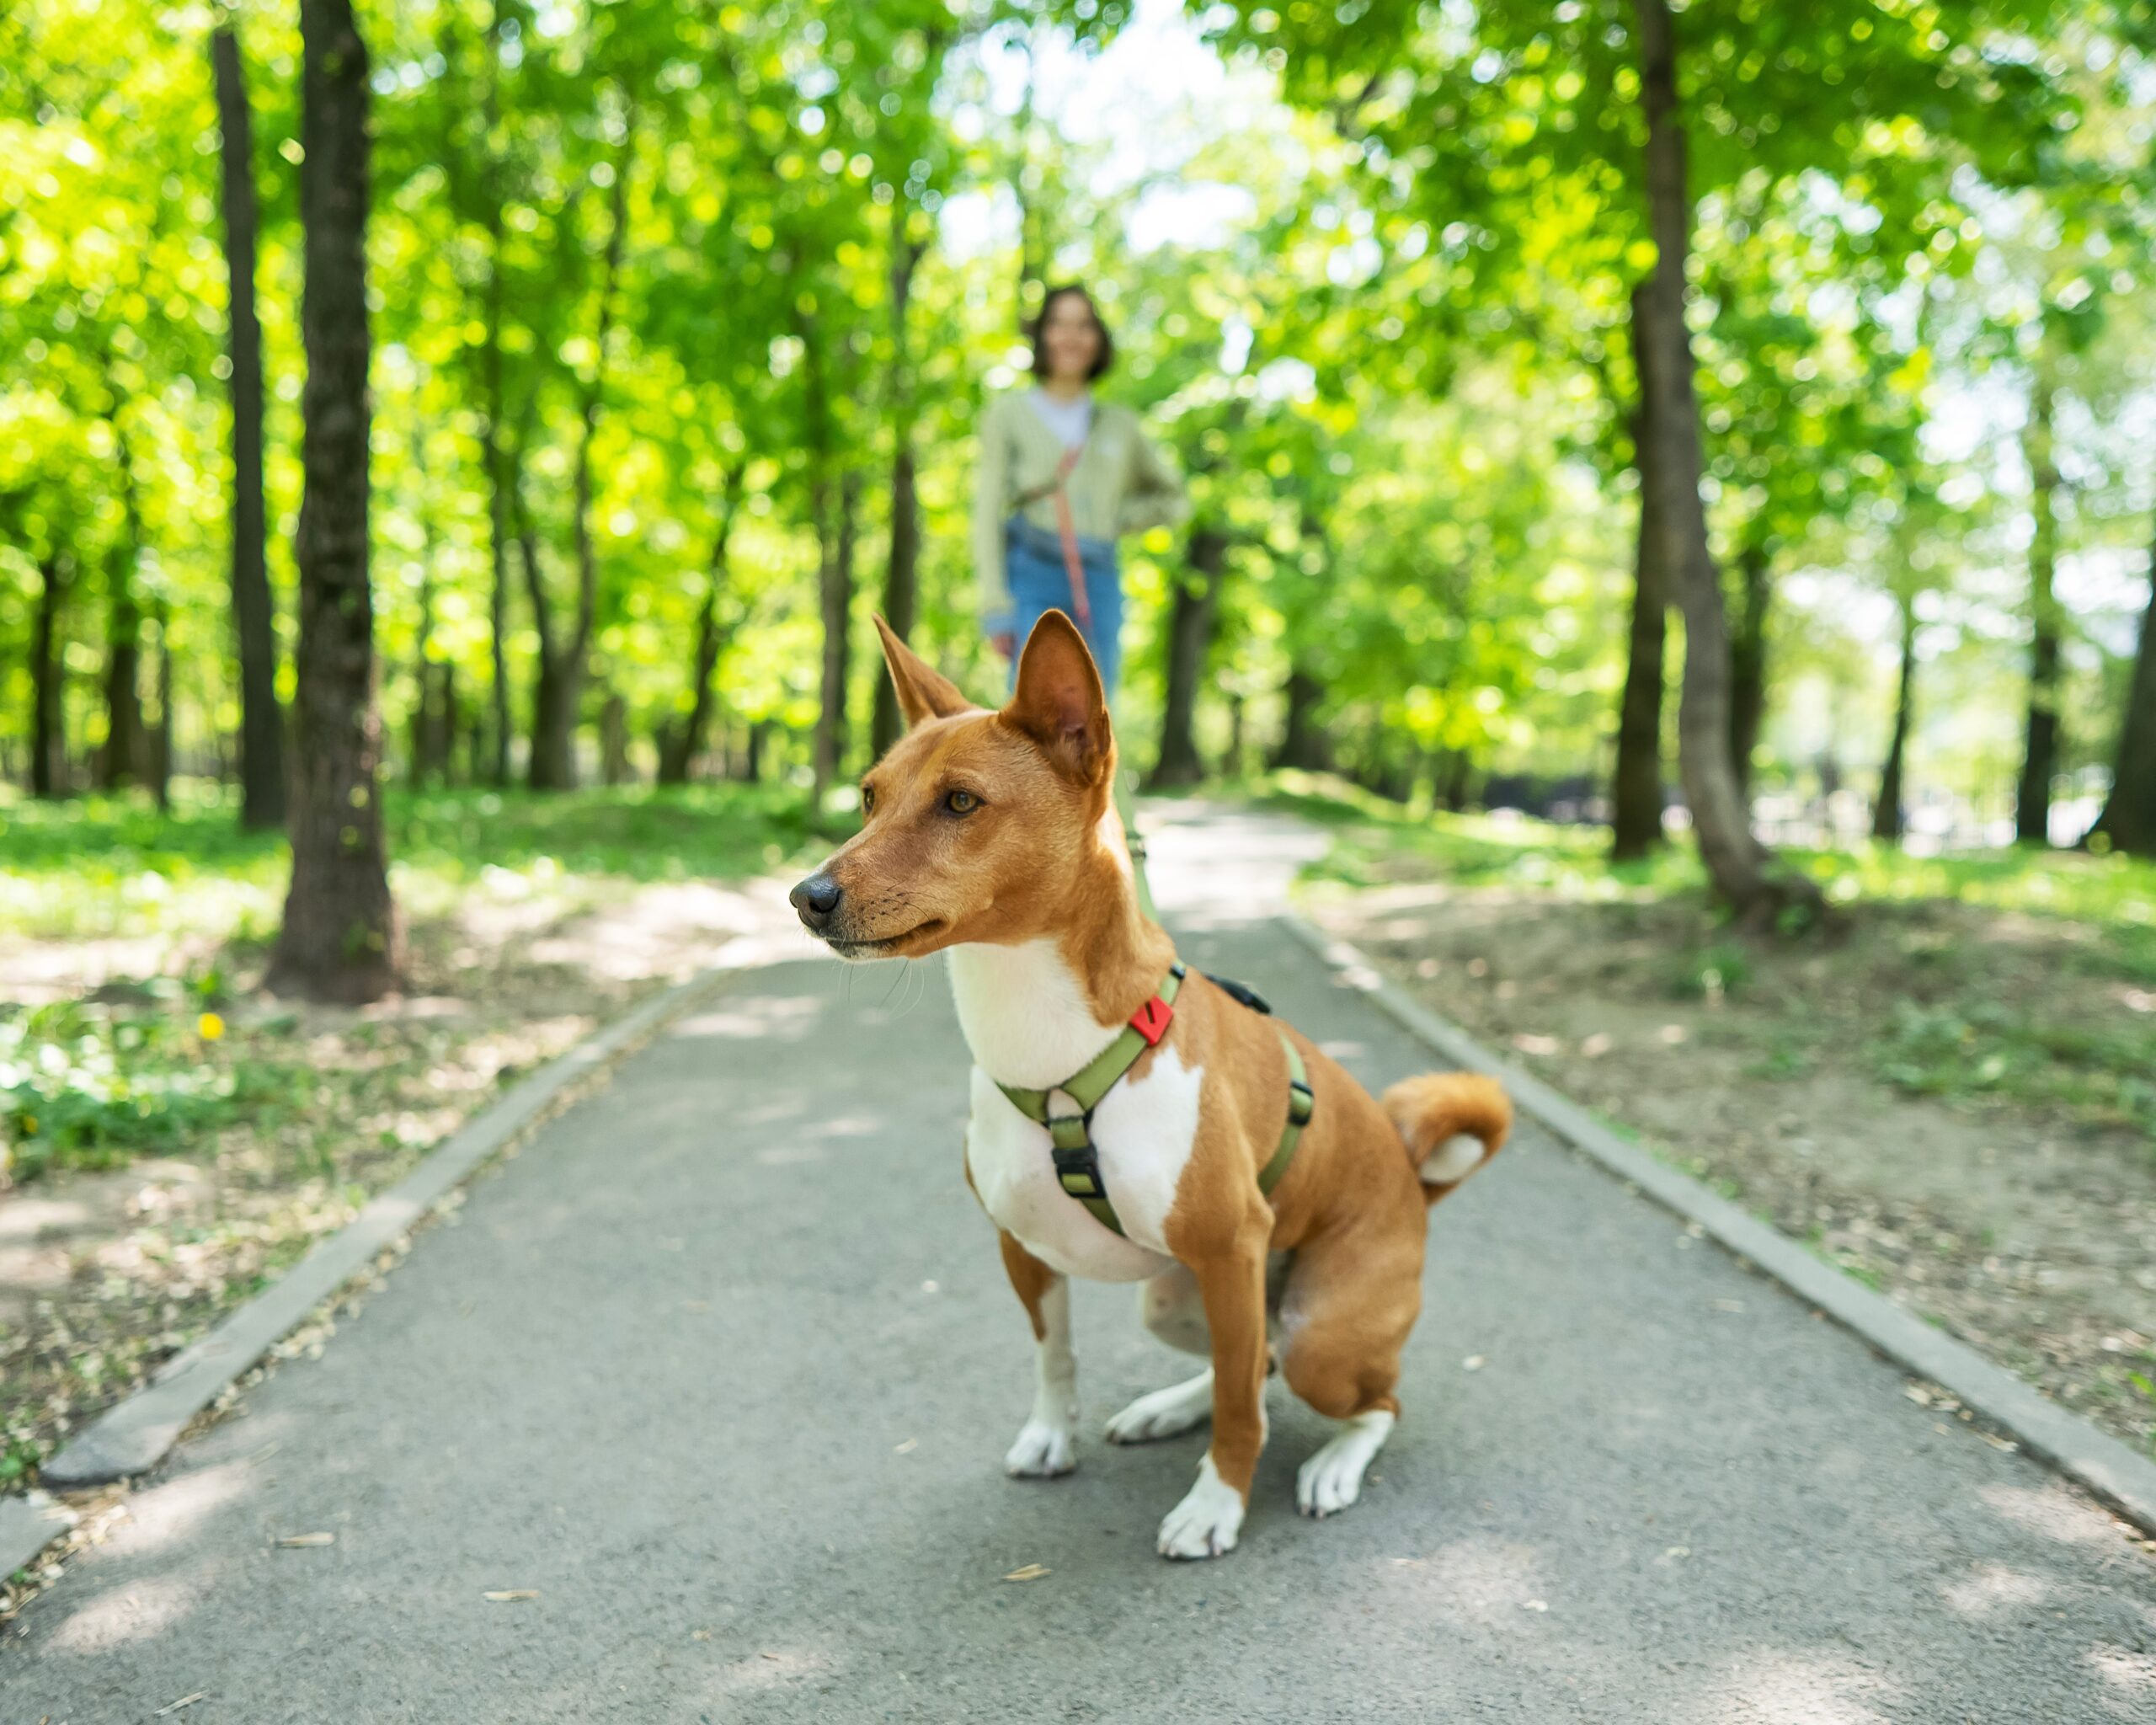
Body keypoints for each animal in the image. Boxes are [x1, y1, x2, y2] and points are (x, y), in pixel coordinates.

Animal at [793, 612, 1518, 1552]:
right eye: (868, 797)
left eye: (959, 802)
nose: (806, 895)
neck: (1053, 1053)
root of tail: (1411, 1178)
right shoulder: (1024, 1247)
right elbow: (1057, 1356)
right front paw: (1051, 1436)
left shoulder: (1231, 1245)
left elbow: (1242, 1413)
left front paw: (1216, 1505)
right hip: (1185, 1300)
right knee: (1251, 1362)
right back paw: (1166, 1409)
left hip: (1316, 1331)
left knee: (1354, 1397)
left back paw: (1331, 1465)